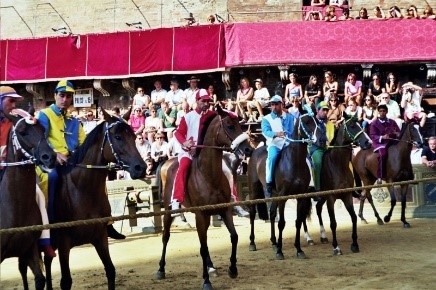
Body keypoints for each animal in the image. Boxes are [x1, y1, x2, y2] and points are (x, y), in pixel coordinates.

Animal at [42, 109, 148, 290]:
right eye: (118, 137)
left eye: (134, 137)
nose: (140, 167)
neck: (81, 191)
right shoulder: (63, 243)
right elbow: (66, 281)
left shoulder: (100, 237)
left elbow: (110, 270)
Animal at [156, 105, 252, 290]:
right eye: (230, 126)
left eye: (240, 124)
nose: (248, 149)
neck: (209, 175)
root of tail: (166, 163)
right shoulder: (201, 214)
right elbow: (202, 247)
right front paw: (206, 281)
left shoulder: (223, 210)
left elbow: (234, 237)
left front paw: (232, 269)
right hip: (169, 211)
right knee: (166, 237)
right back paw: (161, 269)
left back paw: (211, 266)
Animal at [247, 110, 322, 258]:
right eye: (307, 122)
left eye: (316, 120)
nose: (320, 139)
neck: (294, 161)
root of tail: (255, 151)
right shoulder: (283, 196)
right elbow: (281, 223)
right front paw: (280, 252)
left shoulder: (301, 196)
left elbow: (298, 221)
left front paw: (299, 250)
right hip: (255, 189)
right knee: (253, 213)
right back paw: (252, 243)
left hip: (274, 194)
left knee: (271, 214)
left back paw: (274, 242)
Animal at [304, 116, 372, 255]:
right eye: (352, 126)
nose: (368, 142)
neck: (337, 164)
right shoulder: (331, 198)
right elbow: (333, 223)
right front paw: (336, 247)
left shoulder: (347, 196)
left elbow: (353, 218)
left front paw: (354, 244)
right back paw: (309, 238)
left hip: (321, 198)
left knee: (318, 208)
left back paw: (323, 236)